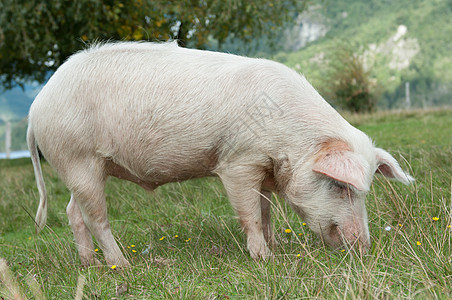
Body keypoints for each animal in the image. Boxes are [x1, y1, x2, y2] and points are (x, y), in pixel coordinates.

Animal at [27, 40, 414, 268]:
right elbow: (250, 213)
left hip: (82, 167)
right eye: (339, 185)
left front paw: (276, 248)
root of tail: (37, 106)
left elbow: (265, 210)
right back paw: (122, 265)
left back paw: (89, 264)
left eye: (365, 190)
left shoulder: (262, 168)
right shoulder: (237, 162)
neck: (288, 141)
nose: (364, 247)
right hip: (77, 158)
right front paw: (264, 258)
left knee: (73, 211)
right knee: (96, 217)